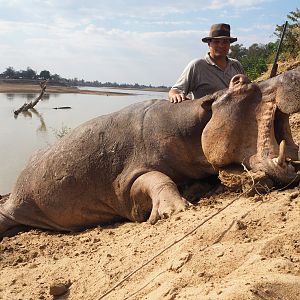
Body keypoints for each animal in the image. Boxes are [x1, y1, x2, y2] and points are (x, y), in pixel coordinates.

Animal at [0, 67, 300, 238]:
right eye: (239, 82)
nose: (292, 72)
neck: (190, 123)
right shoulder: (126, 181)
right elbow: (157, 179)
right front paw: (174, 210)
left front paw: (190, 193)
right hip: (17, 203)